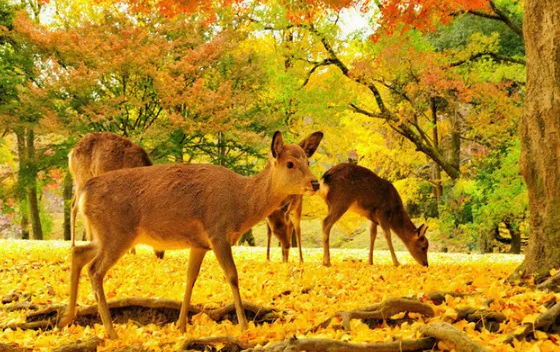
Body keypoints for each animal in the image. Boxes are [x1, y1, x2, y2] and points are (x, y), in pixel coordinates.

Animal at [58, 130, 324, 338]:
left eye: (307, 161)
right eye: (290, 163)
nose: (315, 183)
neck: (241, 205)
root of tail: (85, 192)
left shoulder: (199, 244)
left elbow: (190, 279)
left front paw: (181, 325)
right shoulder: (218, 232)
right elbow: (232, 276)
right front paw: (244, 325)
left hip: (106, 235)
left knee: (78, 253)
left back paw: (66, 318)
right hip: (116, 233)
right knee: (95, 269)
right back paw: (111, 331)